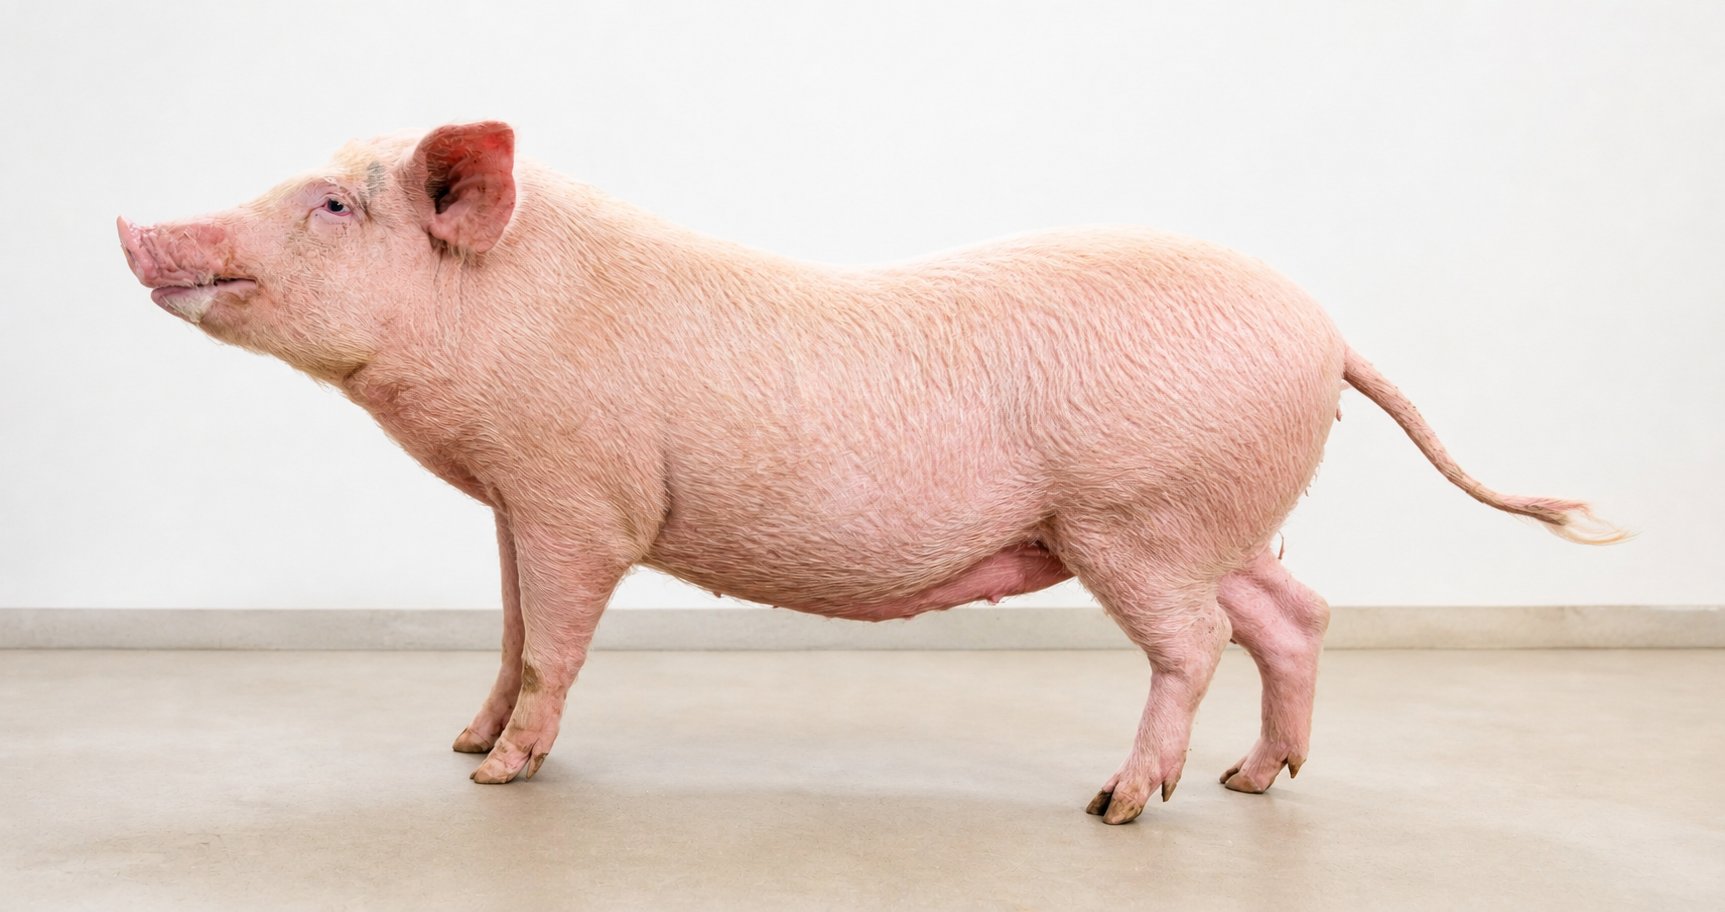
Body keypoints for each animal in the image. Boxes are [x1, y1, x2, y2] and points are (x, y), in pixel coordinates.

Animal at [117, 121, 1624, 825]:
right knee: (1294, 615)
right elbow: (505, 632)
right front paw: (462, 742)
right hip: (1218, 516)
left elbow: (554, 640)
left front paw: (496, 782)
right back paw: (1258, 785)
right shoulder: (515, 502)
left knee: (1194, 642)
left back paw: (1123, 804)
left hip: (1134, 520)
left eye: (331, 204)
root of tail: (1327, 333)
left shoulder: (580, 496)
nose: (135, 227)